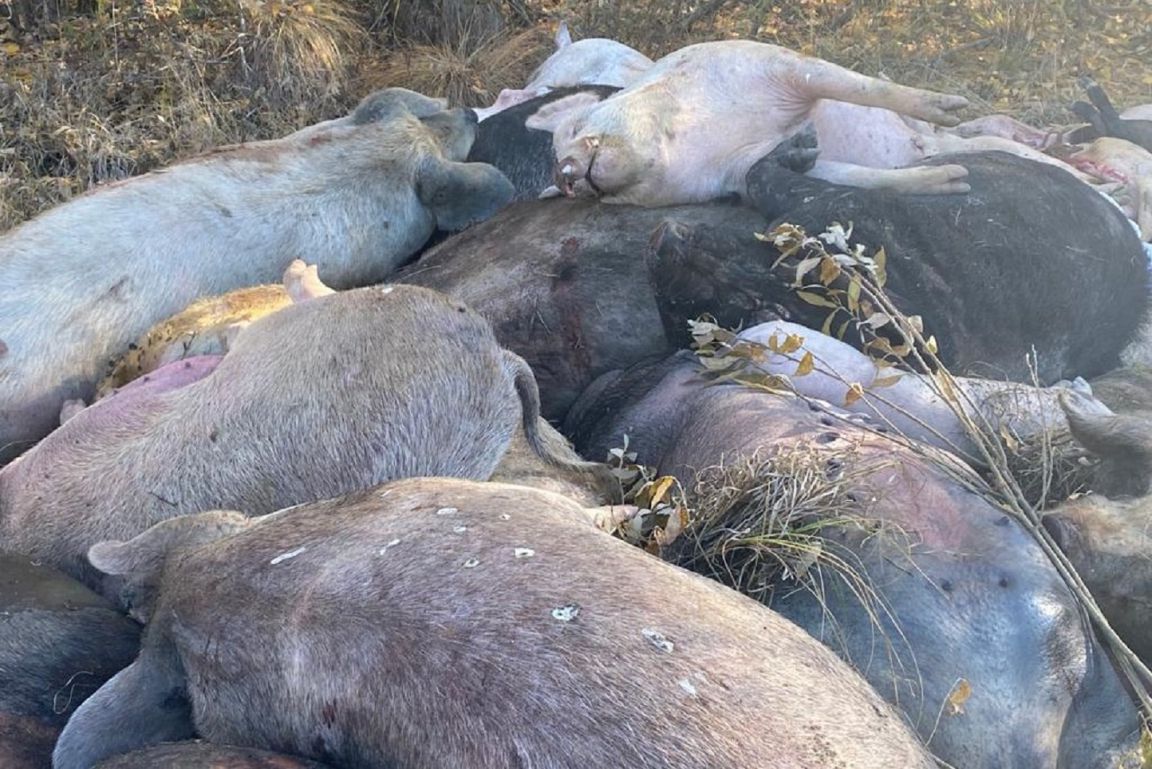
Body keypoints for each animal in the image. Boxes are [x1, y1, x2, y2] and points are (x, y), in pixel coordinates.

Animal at [524, 40, 971, 206]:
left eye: (574, 129)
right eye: (587, 198)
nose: (562, 174)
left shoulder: (769, 63)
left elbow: (856, 86)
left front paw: (955, 108)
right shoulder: (734, 172)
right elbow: (844, 175)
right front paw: (956, 181)